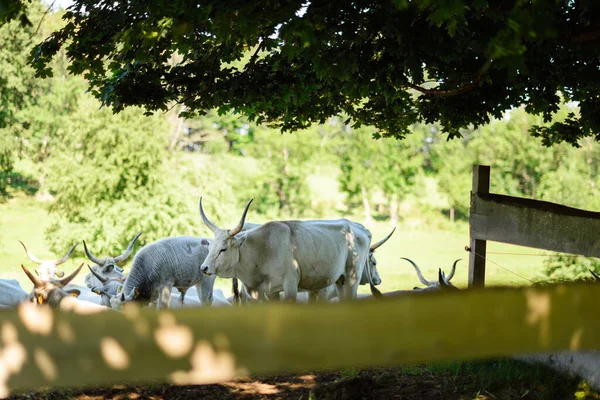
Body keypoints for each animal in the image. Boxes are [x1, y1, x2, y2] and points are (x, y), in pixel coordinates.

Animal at [199, 197, 376, 304]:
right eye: (210, 247)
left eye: (223, 249)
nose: (203, 268)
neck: (262, 250)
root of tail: (358, 227)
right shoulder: (267, 294)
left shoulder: (290, 287)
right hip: (341, 281)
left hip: (351, 279)